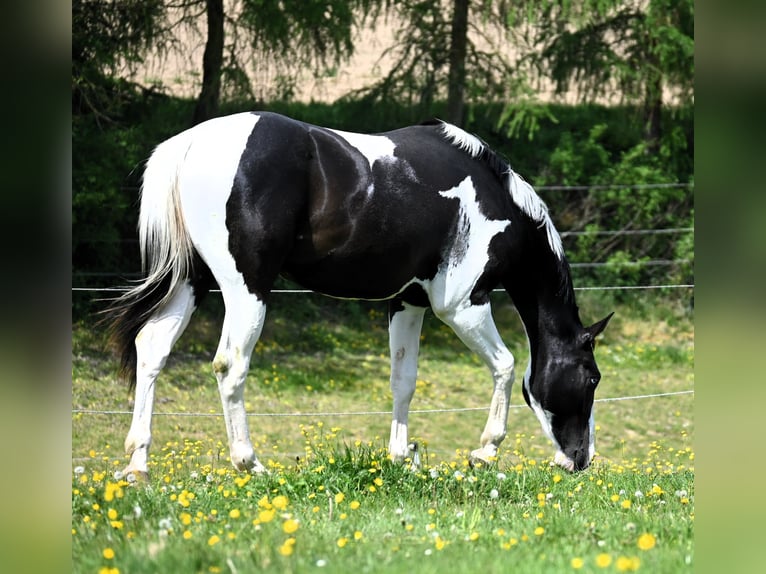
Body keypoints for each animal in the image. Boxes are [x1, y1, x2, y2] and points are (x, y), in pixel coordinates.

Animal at [107, 111, 612, 479]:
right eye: (591, 378)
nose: (581, 460)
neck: (492, 197)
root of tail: (190, 144)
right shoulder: (462, 305)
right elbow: (506, 367)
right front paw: (485, 451)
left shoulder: (408, 302)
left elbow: (403, 379)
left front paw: (401, 456)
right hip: (245, 290)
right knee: (230, 366)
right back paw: (250, 463)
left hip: (191, 281)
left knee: (152, 350)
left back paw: (137, 465)